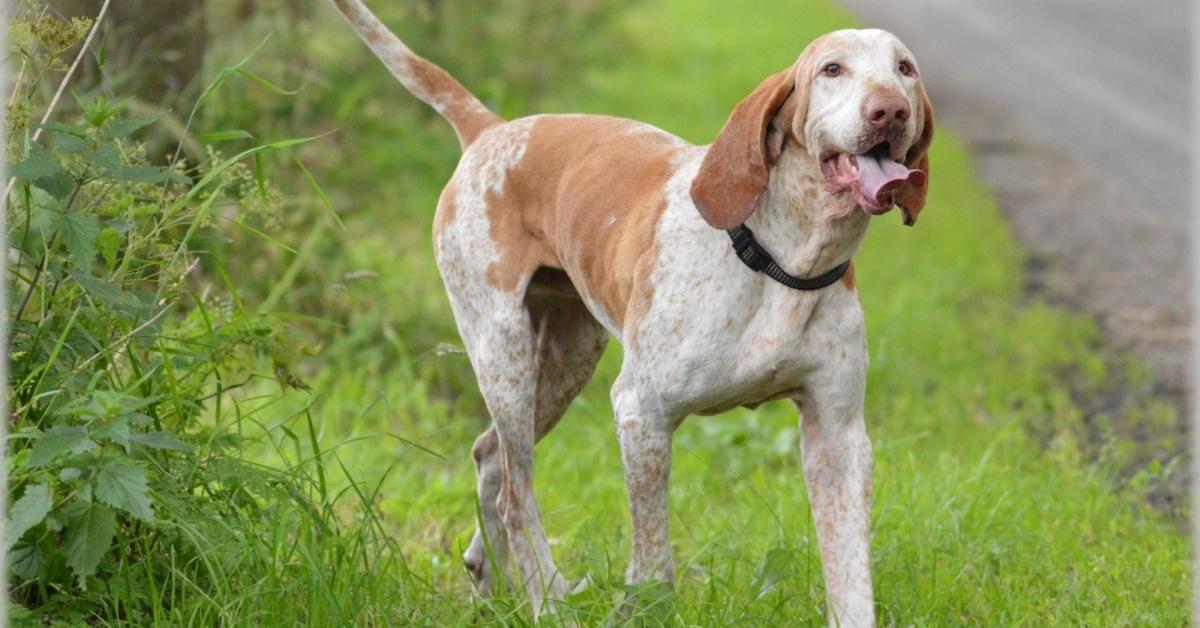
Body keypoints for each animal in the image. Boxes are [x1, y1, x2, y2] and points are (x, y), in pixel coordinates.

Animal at [331, 2, 936, 624]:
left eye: (905, 68)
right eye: (832, 69)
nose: (889, 109)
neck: (781, 259)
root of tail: (492, 129)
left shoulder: (837, 436)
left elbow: (851, 578)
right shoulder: (641, 413)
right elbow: (653, 564)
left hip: (566, 361)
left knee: (490, 456)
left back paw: (492, 578)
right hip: (503, 352)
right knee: (515, 493)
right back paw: (548, 598)